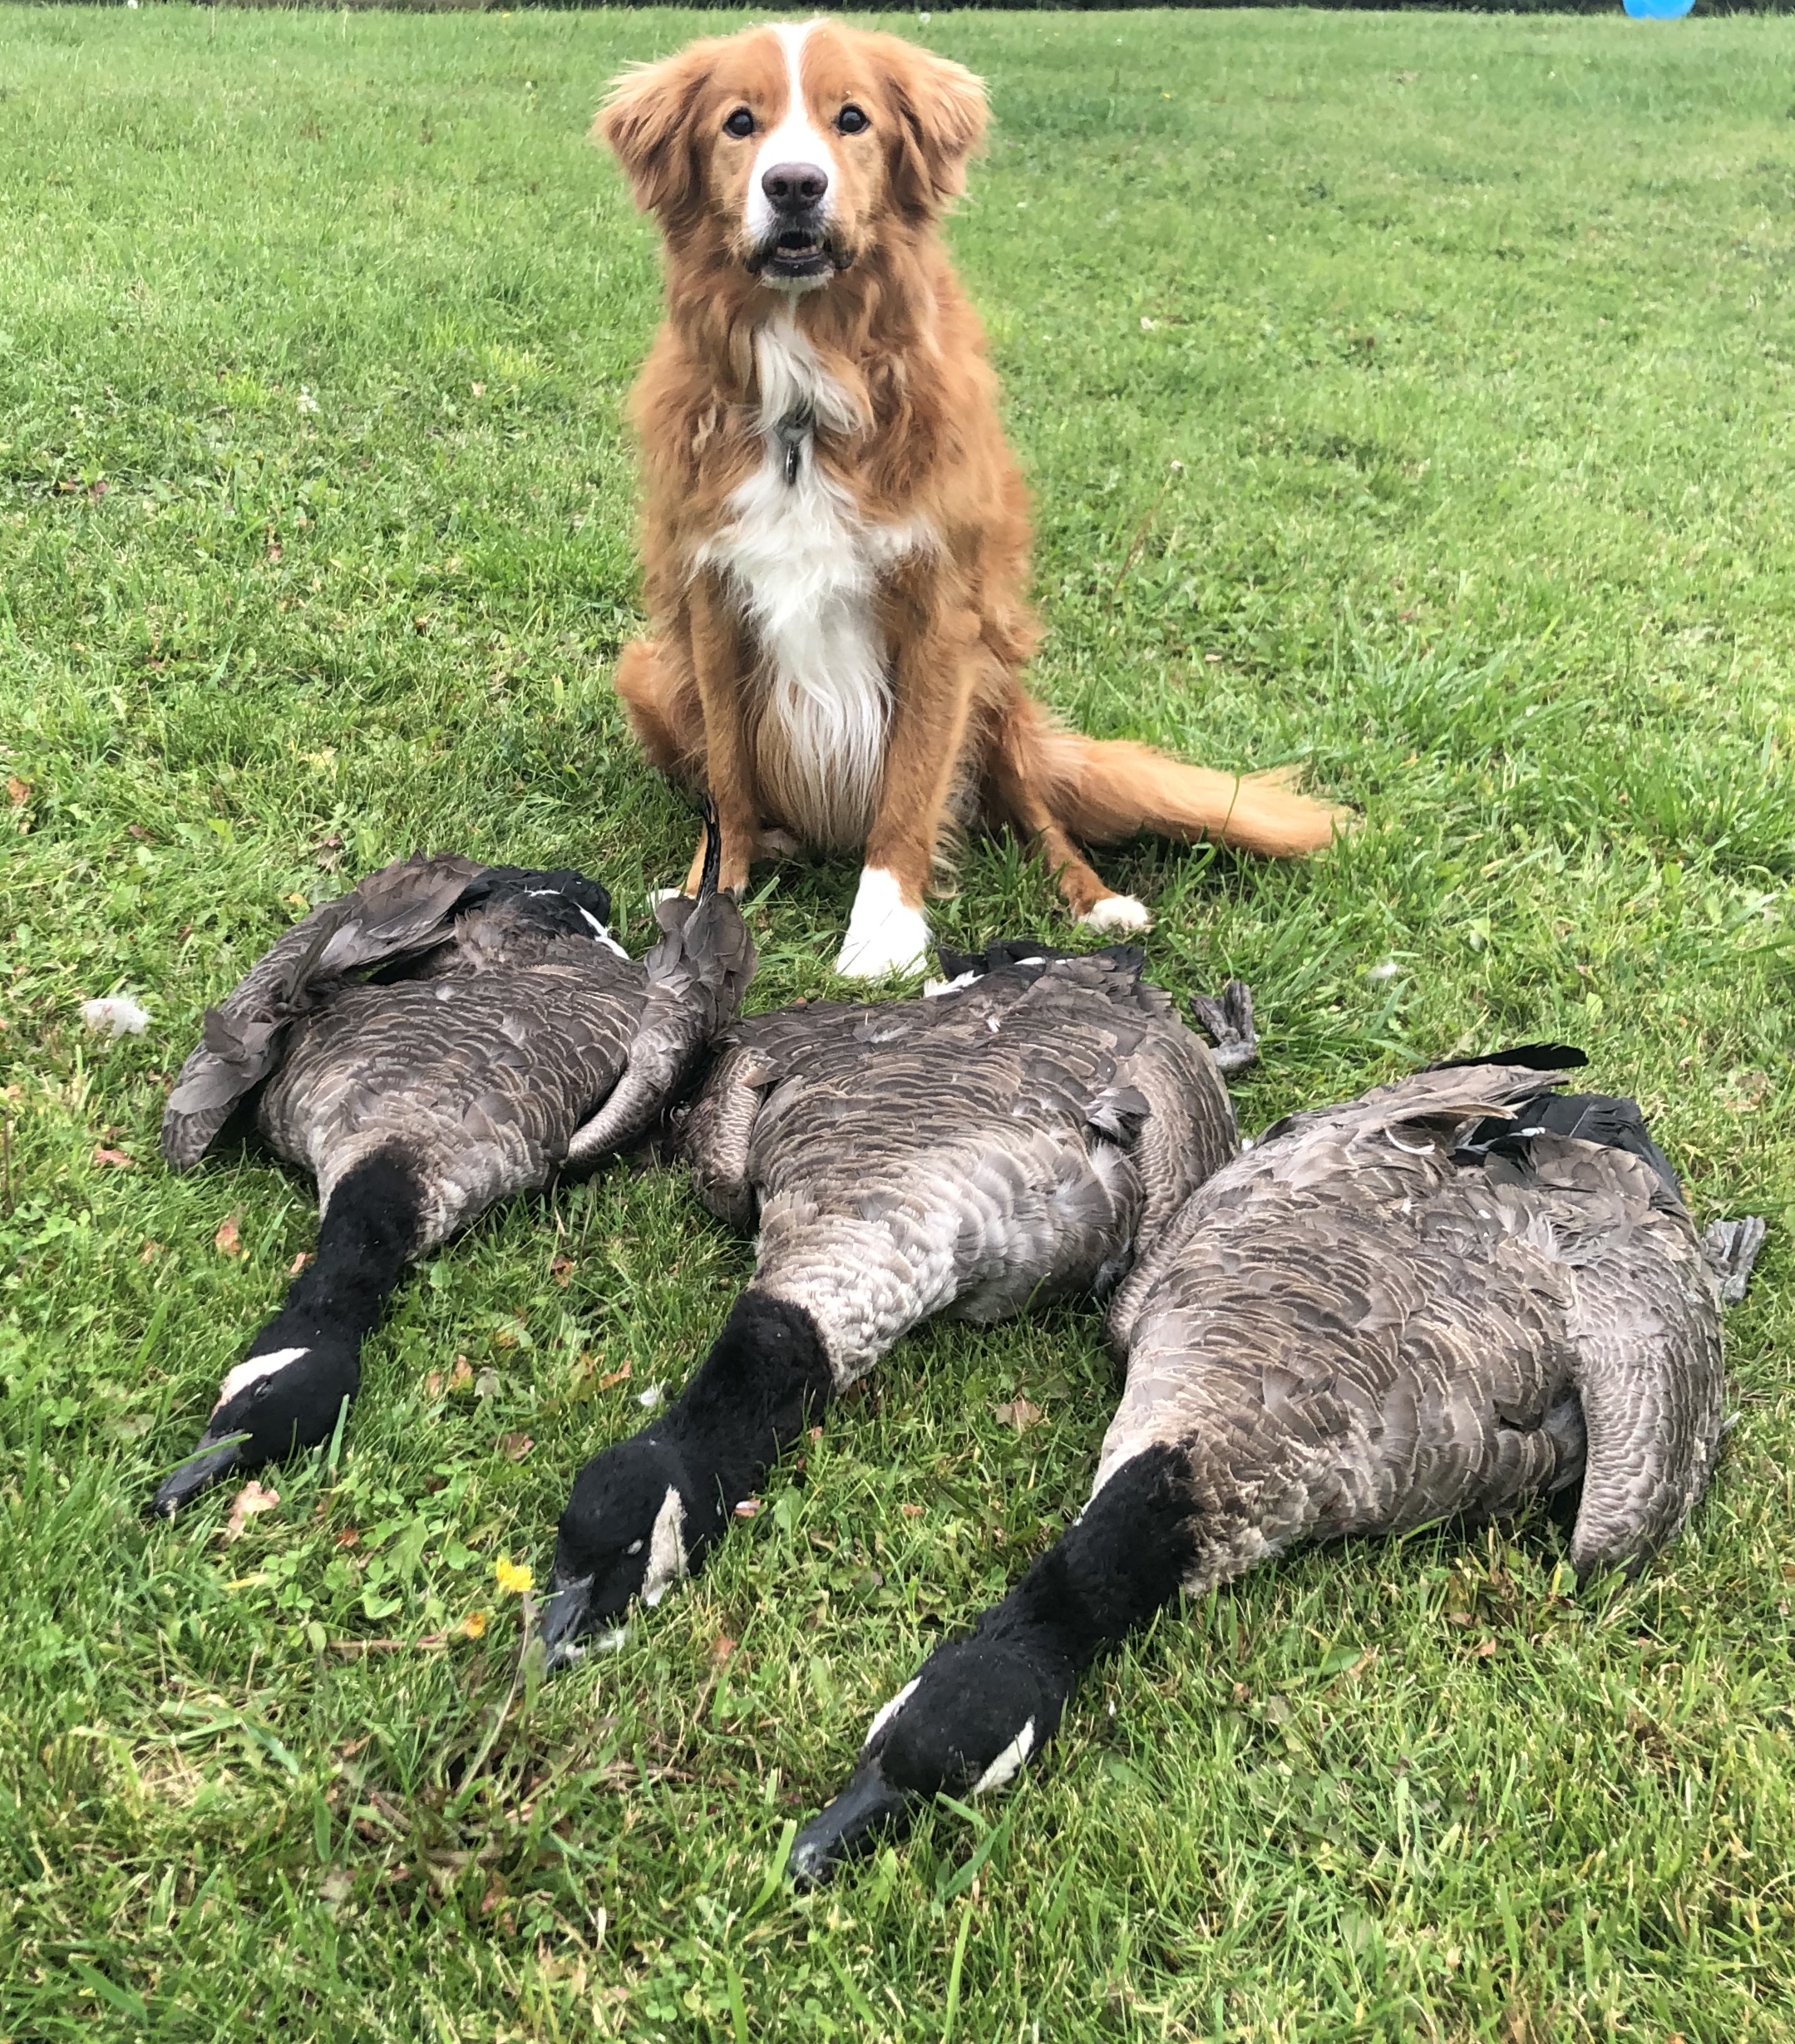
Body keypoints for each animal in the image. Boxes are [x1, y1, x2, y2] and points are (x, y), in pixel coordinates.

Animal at [598, 20, 1345, 979]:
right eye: (738, 123)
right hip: (650, 671)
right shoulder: (713, 601)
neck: (807, 384)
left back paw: (1095, 900)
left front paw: (882, 941)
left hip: (998, 680)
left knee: (1037, 811)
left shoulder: (942, 615)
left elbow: (911, 793)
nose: (794, 184)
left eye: (851, 119)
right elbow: (727, 782)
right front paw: (709, 901)